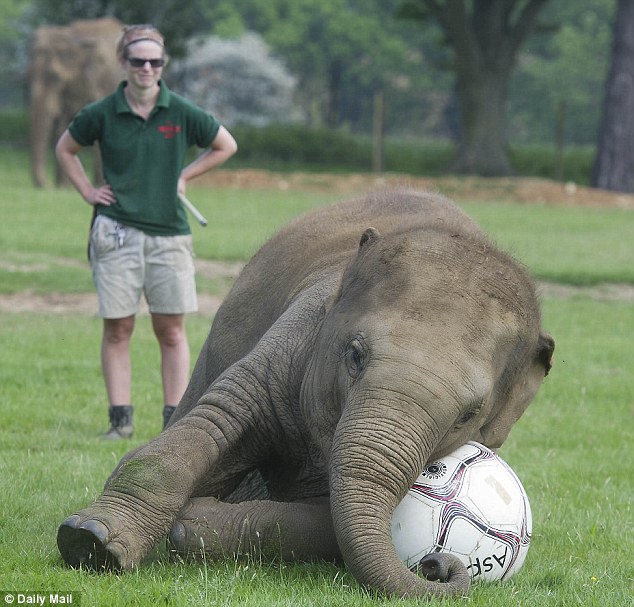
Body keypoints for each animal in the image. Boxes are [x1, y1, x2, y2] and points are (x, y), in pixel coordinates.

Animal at [28, 17, 122, 188]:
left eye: (55, 77)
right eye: (27, 74)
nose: (46, 186)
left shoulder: (100, 82)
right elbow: (65, 126)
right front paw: (62, 188)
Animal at [58, 189, 552, 600]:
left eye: (469, 415)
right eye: (354, 355)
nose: (436, 564)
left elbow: (327, 521)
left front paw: (192, 523)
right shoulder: (293, 339)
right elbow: (212, 423)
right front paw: (90, 541)